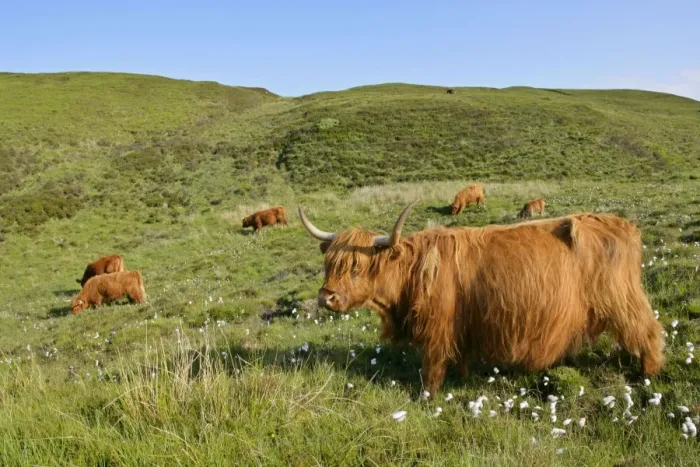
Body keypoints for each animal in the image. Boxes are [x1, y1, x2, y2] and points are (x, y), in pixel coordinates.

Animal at [298, 201, 664, 395]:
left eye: (356, 267)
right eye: (330, 264)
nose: (326, 298)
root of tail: (623, 224)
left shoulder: (436, 330)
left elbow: (432, 366)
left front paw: (428, 396)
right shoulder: (462, 326)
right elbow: (459, 357)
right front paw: (462, 378)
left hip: (622, 299)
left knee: (648, 331)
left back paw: (648, 373)